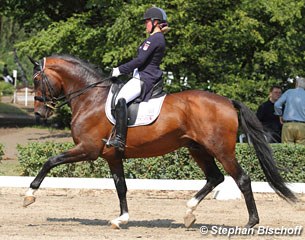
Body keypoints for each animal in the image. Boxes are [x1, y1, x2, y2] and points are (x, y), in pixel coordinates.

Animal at [25, 54, 296, 229]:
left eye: (37, 80)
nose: (39, 113)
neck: (90, 98)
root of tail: (227, 101)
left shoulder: (87, 150)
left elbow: (50, 161)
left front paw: (29, 195)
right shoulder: (112, 156)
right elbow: (121, 187)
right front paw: (121, 219)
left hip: (221, 149)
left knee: (241, 178)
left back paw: (251, 222)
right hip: (197, 149)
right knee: (215, 177)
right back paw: (188, 213)